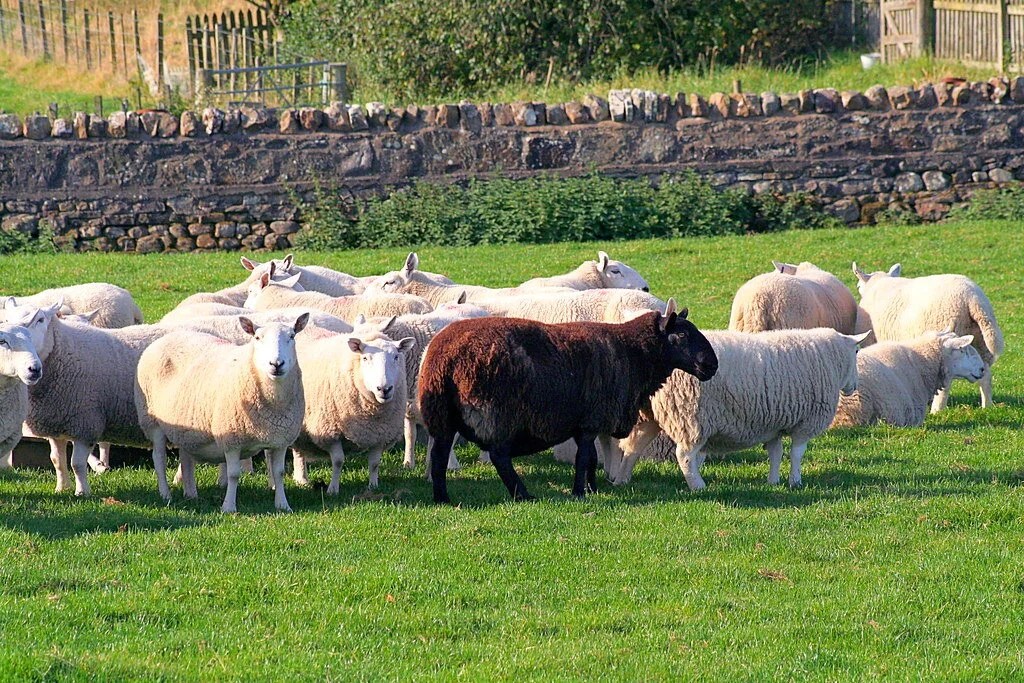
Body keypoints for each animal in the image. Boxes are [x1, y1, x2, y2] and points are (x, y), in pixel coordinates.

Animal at [134, 314, 309, 513]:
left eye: (292, 336)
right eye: (257, 338)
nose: (276, 364)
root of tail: (164, 338)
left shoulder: (280, 439)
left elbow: (279, 473)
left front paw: (283, 505)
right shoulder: (231, 439)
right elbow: (233, 474)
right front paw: (228, 507)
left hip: (186, 425)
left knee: (185, 458)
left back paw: (191, 493)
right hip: (151, 421)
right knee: (159, 459)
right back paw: (165, 494)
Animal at [289, 326, 415, 492]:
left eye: (396, 357)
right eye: (365, 358)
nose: (384, 389)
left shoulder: (380, 434)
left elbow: (374, 464)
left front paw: (373, 486)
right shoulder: (330, 432)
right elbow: (338, 461)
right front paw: (333, 489)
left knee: (298, 450)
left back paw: (301, 479)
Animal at [418, 300, 719, 504]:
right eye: (682, 335)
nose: (712, 365)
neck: (632, 352)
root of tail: (445, 358)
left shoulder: (583, 422)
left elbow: (592, 458)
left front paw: (593, 488)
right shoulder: (591, 420)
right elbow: (583, 457)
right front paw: (579, 492)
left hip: (442, 417)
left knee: (439, 456)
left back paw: (442, 498)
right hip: (496, 412)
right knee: (499, 456)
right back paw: (523, 494)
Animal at [608, 328, 869, 490]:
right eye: (856, 351)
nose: (854, 387)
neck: (829, 359)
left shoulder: (773, 425)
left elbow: (775, 453)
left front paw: (773, 481)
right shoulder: (805, 423)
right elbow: (797, 453)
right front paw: (795, 481)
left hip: (648, 415)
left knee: (632, 448)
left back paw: (622, 480)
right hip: (689, 416)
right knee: (685, 455)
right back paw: (698, 486)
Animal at [853, 263, 1004, 411]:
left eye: (858, 286)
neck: (879, 283)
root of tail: (973, 299)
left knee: (946, 383)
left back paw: (936, 410)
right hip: (980, 342)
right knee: (985, 375)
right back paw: (987, 406)